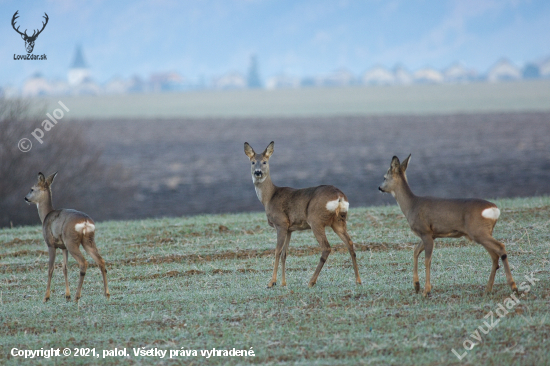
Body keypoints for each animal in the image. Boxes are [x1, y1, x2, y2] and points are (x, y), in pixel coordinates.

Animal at [24, 173, 110, 302]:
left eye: (32, 189)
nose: (26, 198)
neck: (46, 216)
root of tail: (85, 222)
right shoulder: (63, 247)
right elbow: (65, 268)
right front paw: (67, 295)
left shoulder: (50, 243)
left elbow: (51, 268)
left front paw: (46, 297)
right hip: (88, 240)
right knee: (101, 261)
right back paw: (106, 294)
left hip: (71, 241)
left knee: (83, 262)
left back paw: (77, 296)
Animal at [246, 142, 362, 288]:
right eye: (253, 162)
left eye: (264, 162)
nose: (258, 172)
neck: (269, 197)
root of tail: (339, 196)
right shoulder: (290, 229)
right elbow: (284, 253)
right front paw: (283, 283)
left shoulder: (281, 223)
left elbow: (277, 251)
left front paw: (272, 282)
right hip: (338, 221)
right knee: (350, 244)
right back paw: (358, 280)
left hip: (316, 220)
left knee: (326, 248)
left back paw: (311, 281)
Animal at [382, 156, 520, 296]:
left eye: (384, 177)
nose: (379, 187)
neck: (412, 205)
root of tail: (494, 209)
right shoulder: (431, 235)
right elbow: (415, 251)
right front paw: (416, 285)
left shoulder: (425, 232)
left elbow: (427, 260)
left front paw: (426, 291)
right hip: (484, 233)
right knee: (494, 256)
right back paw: (488, 289)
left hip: (478, 232)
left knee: (500, 247)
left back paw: (513, 286)